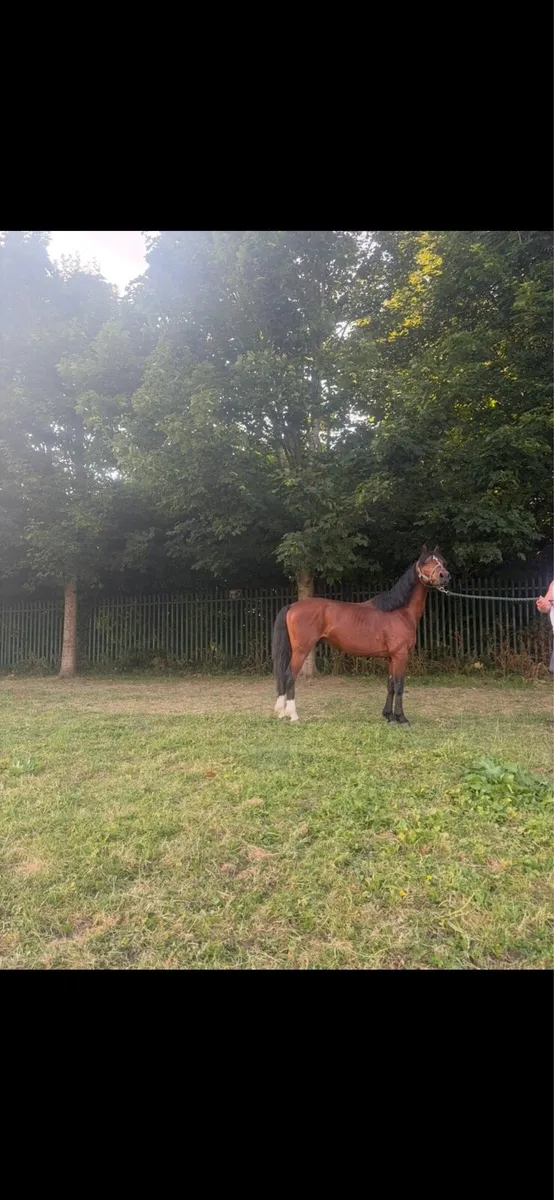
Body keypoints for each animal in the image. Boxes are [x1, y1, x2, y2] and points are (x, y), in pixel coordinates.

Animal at [272, 546, 450, 725]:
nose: (444, 575)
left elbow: (390, 684)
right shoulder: (401, 655)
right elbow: (399, 685)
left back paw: (282, 712)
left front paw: (389, 715)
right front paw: (401, 718)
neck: (399, 611)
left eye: (443, 561)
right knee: (289, 677)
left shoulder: (391, 657)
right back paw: (293, 715)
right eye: (425, 562)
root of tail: (292, 605)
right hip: (301, 651)